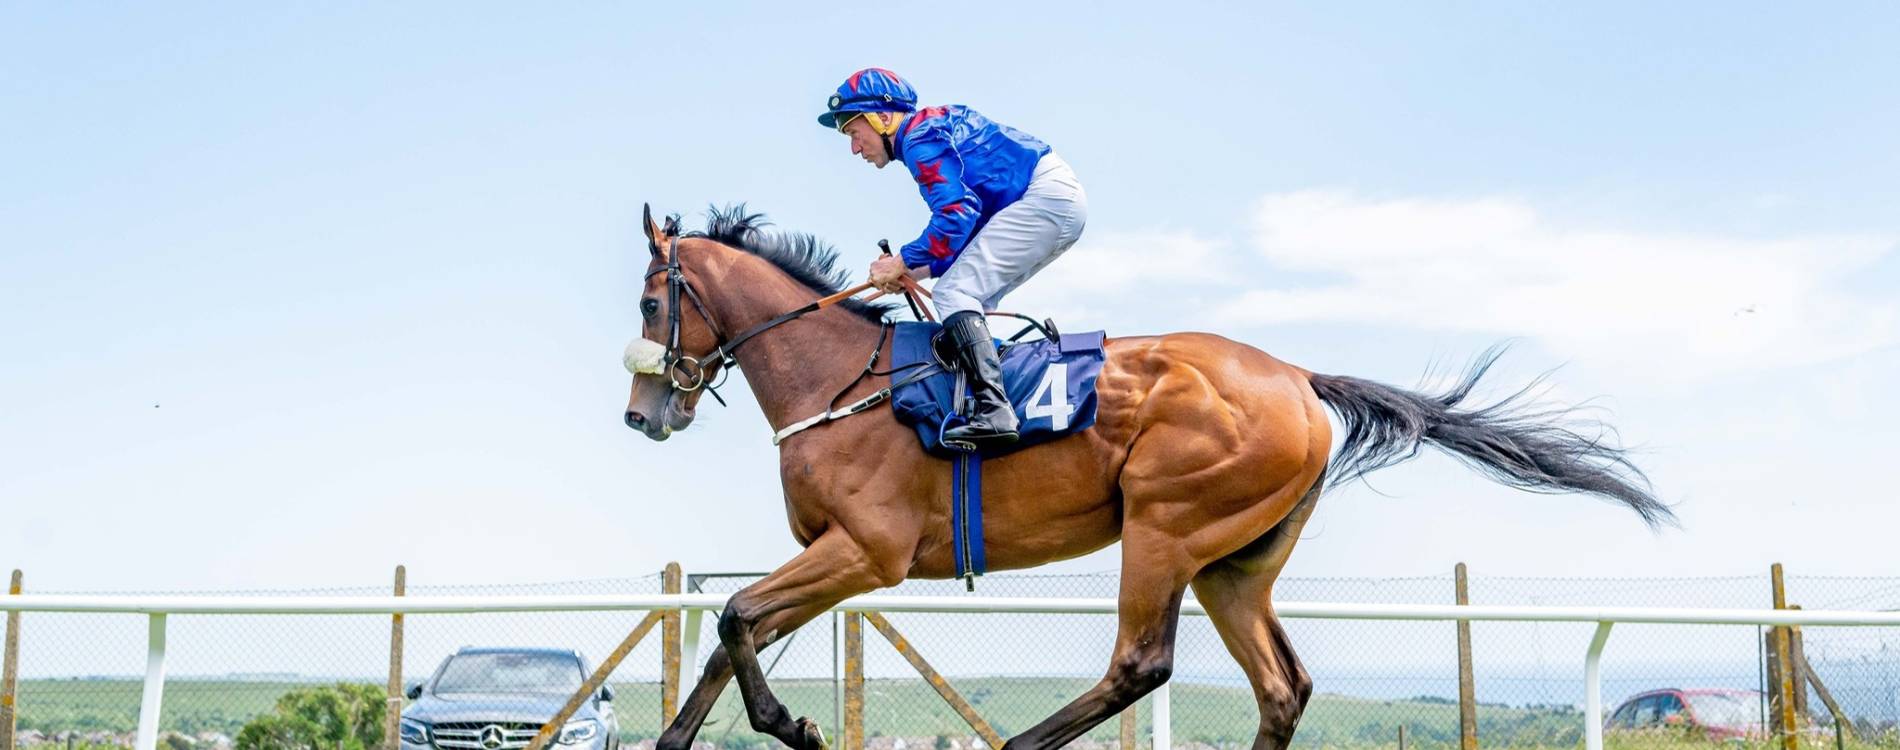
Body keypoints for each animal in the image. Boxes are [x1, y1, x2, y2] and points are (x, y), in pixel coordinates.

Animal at [622, 205, 1671, 750]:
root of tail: (1298, 378)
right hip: (1234, 563)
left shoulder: (867, 554)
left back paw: (1020, 746)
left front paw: (791, 725)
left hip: (1166, 525)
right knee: (1283, 685)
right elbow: (731, 632)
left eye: (648, 300)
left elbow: (733, 617)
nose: (642, 415)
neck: (841, 381)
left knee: (1141, 663)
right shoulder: (835, 557)